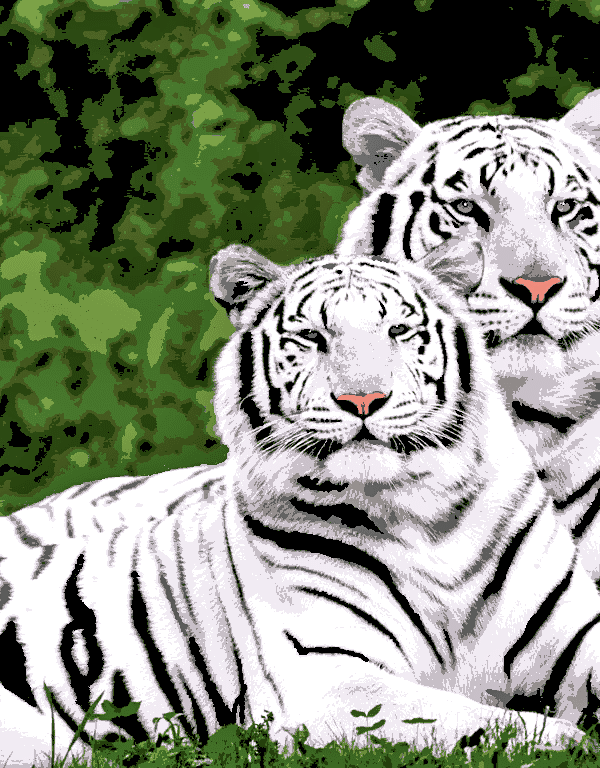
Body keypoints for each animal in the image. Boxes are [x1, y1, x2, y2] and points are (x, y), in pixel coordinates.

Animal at [2, 244, 600, 768]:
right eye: (312, 337)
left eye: (399, 331)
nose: (363, 400)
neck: (425, 517)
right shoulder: (324, 678)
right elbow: (475, 721)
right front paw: (568, 743)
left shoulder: (576, 632)